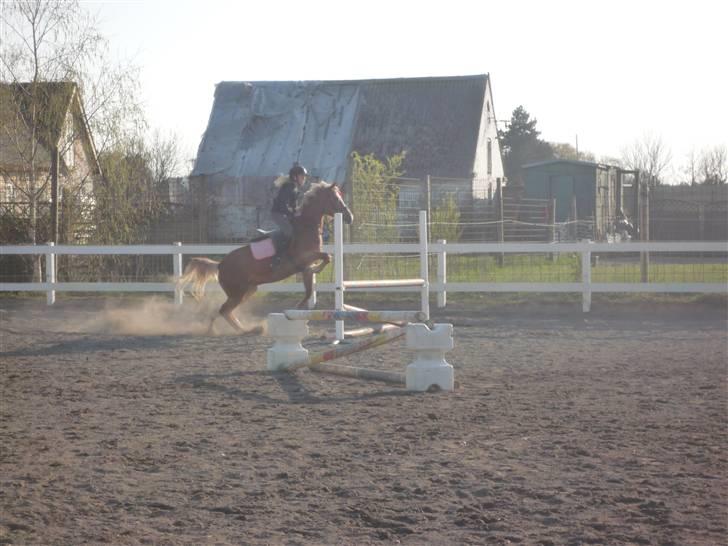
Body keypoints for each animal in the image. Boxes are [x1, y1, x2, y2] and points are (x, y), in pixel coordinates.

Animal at [176, 181, 352, 332]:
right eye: (335, 198)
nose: (350, 217)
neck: (307, 227)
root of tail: (220, 265)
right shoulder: (304, 258)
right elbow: (327, 256)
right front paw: (317, 270)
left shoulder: (305, 266)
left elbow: (310, 288)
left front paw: (300, 301)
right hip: (237, 292)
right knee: (224, 310)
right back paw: (238, 330)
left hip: (248, 290)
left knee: (225, 311)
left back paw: (244, 329)